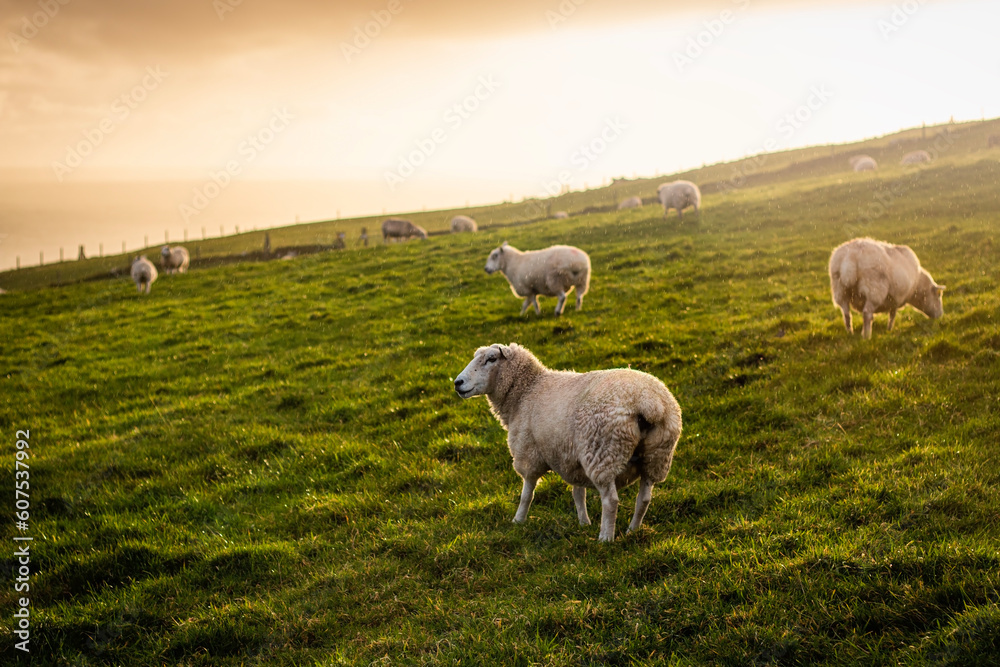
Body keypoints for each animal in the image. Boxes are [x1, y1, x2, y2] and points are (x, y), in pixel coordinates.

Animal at [454, 343, 682, 542]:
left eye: (491, 359)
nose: (457, 383)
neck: (526, 391)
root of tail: (649, 404)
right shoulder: (571, 459)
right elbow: (578, 493)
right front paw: (583, 522)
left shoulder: (529, 454)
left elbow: (527, 494)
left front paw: (518, 521)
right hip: (656, 456)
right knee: (644, 498)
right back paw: (632, 531)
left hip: (603, 454)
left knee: (611, 500)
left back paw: (605, 538)